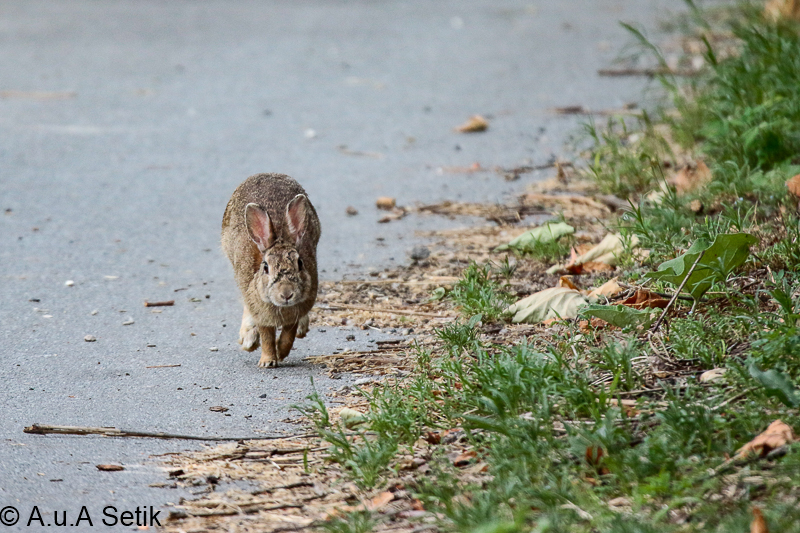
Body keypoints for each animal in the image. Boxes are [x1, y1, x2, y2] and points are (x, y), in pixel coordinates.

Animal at [220, 172, 320, 368]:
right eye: (266, 267)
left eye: (300, 263)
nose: (286, 293)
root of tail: (267, 174)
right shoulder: (260, 312)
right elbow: (266, 336)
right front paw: (267, 361)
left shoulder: (296, 312)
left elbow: (288, 335)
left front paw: (281, 353)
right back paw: (248, 339)